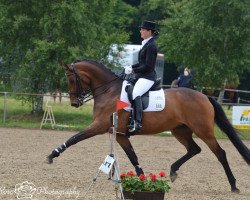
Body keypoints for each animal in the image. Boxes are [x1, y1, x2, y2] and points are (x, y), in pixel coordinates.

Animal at [46, 59, 249, 192]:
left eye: (72, 79)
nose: (75, 103)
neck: (108, 90)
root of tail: (205, 96)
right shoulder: (120, 134)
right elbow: (133, 157)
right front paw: (143, 180)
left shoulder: (98, 126)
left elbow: (74, 138)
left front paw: (52, 155)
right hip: (180, 130)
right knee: (194, 149)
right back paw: (173, 171)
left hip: (203, 130)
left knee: (220, 153)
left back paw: (233, 185)